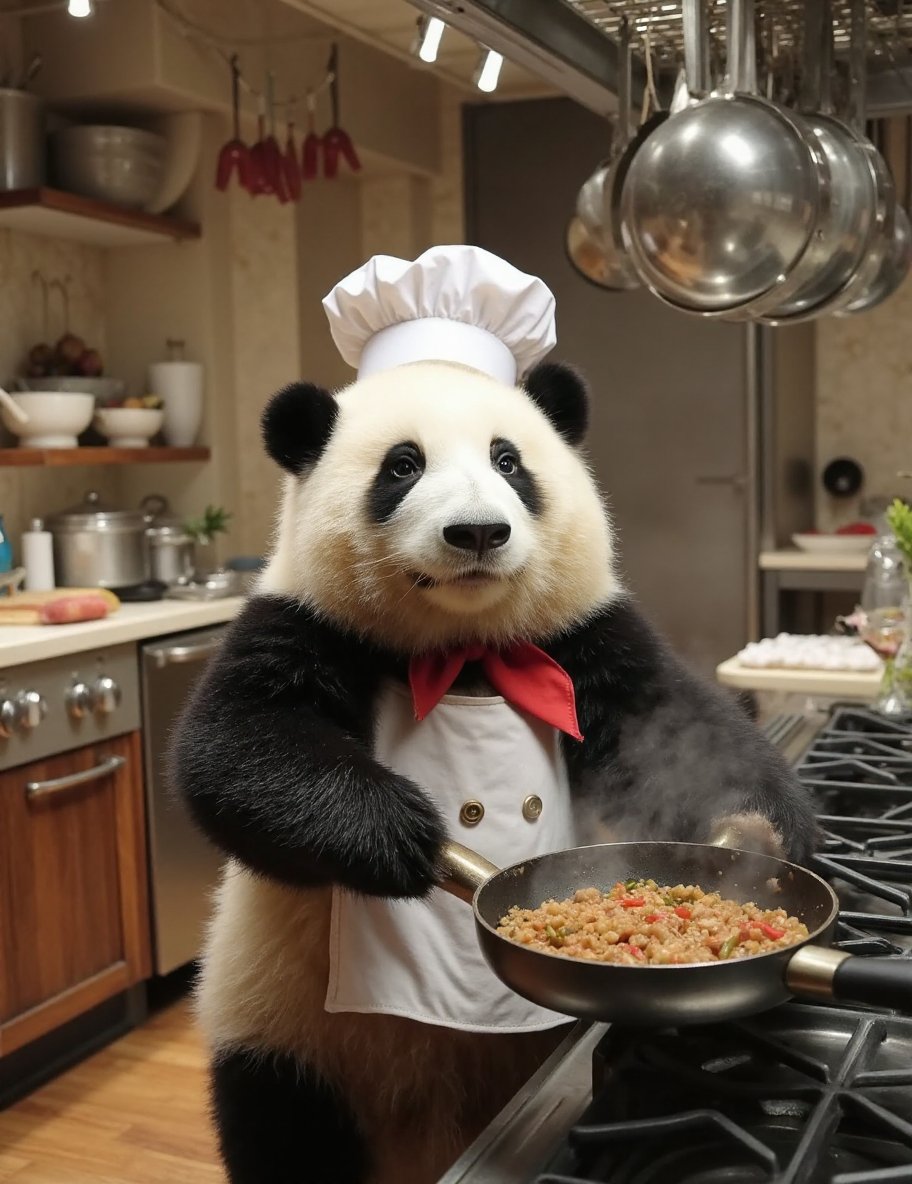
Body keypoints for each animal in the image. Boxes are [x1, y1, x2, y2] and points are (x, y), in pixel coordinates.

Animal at [170, 355, 814, 1184]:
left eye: (508, 461)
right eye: (402, 466)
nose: (478, 530)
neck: (466, 647)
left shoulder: (585, 637)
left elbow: (673, 718)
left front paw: (756, 830)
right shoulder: (303, 622)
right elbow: (231, 751)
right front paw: (400, 834)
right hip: (283, 1035)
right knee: (281, 1126)